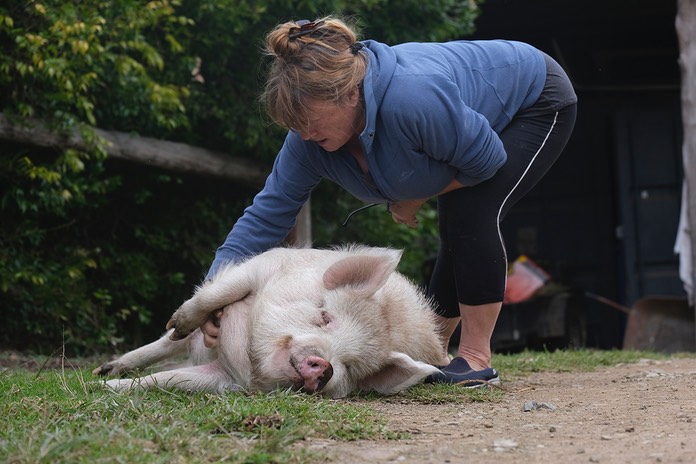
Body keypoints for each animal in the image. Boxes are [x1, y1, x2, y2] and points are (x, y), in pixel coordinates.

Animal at [94, 246, 446, 398]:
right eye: (324, 316)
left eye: (351, 366)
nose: (326, 366)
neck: (250, 360)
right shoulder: (261, 267)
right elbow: (216, 295)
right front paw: (99, 386)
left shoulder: (228, 378)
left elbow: (170, 379)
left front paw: (105, 387)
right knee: (168, 342)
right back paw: (105, 369)